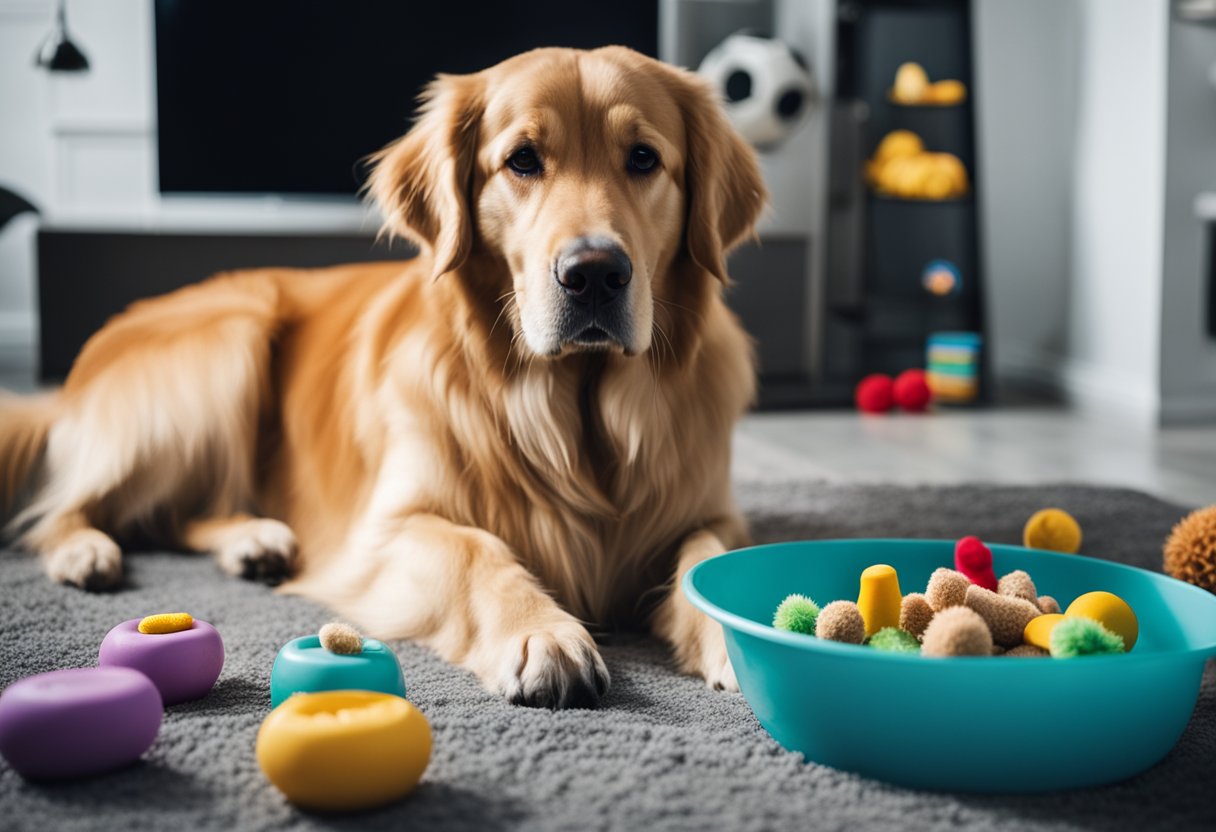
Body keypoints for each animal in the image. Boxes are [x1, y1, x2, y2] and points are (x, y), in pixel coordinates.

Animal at [0, 45, 763, 710]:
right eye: (522, 160)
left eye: (643, 158)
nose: (595, 273)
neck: (573, 411)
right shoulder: (387, 530)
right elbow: (476, 549)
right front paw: (542, 633)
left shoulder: (708, 510)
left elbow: (709, 555)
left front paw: (735, 633)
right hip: (225, 350)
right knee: (67, 505)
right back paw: (86, 550)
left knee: (176, 511)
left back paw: (254, 542)